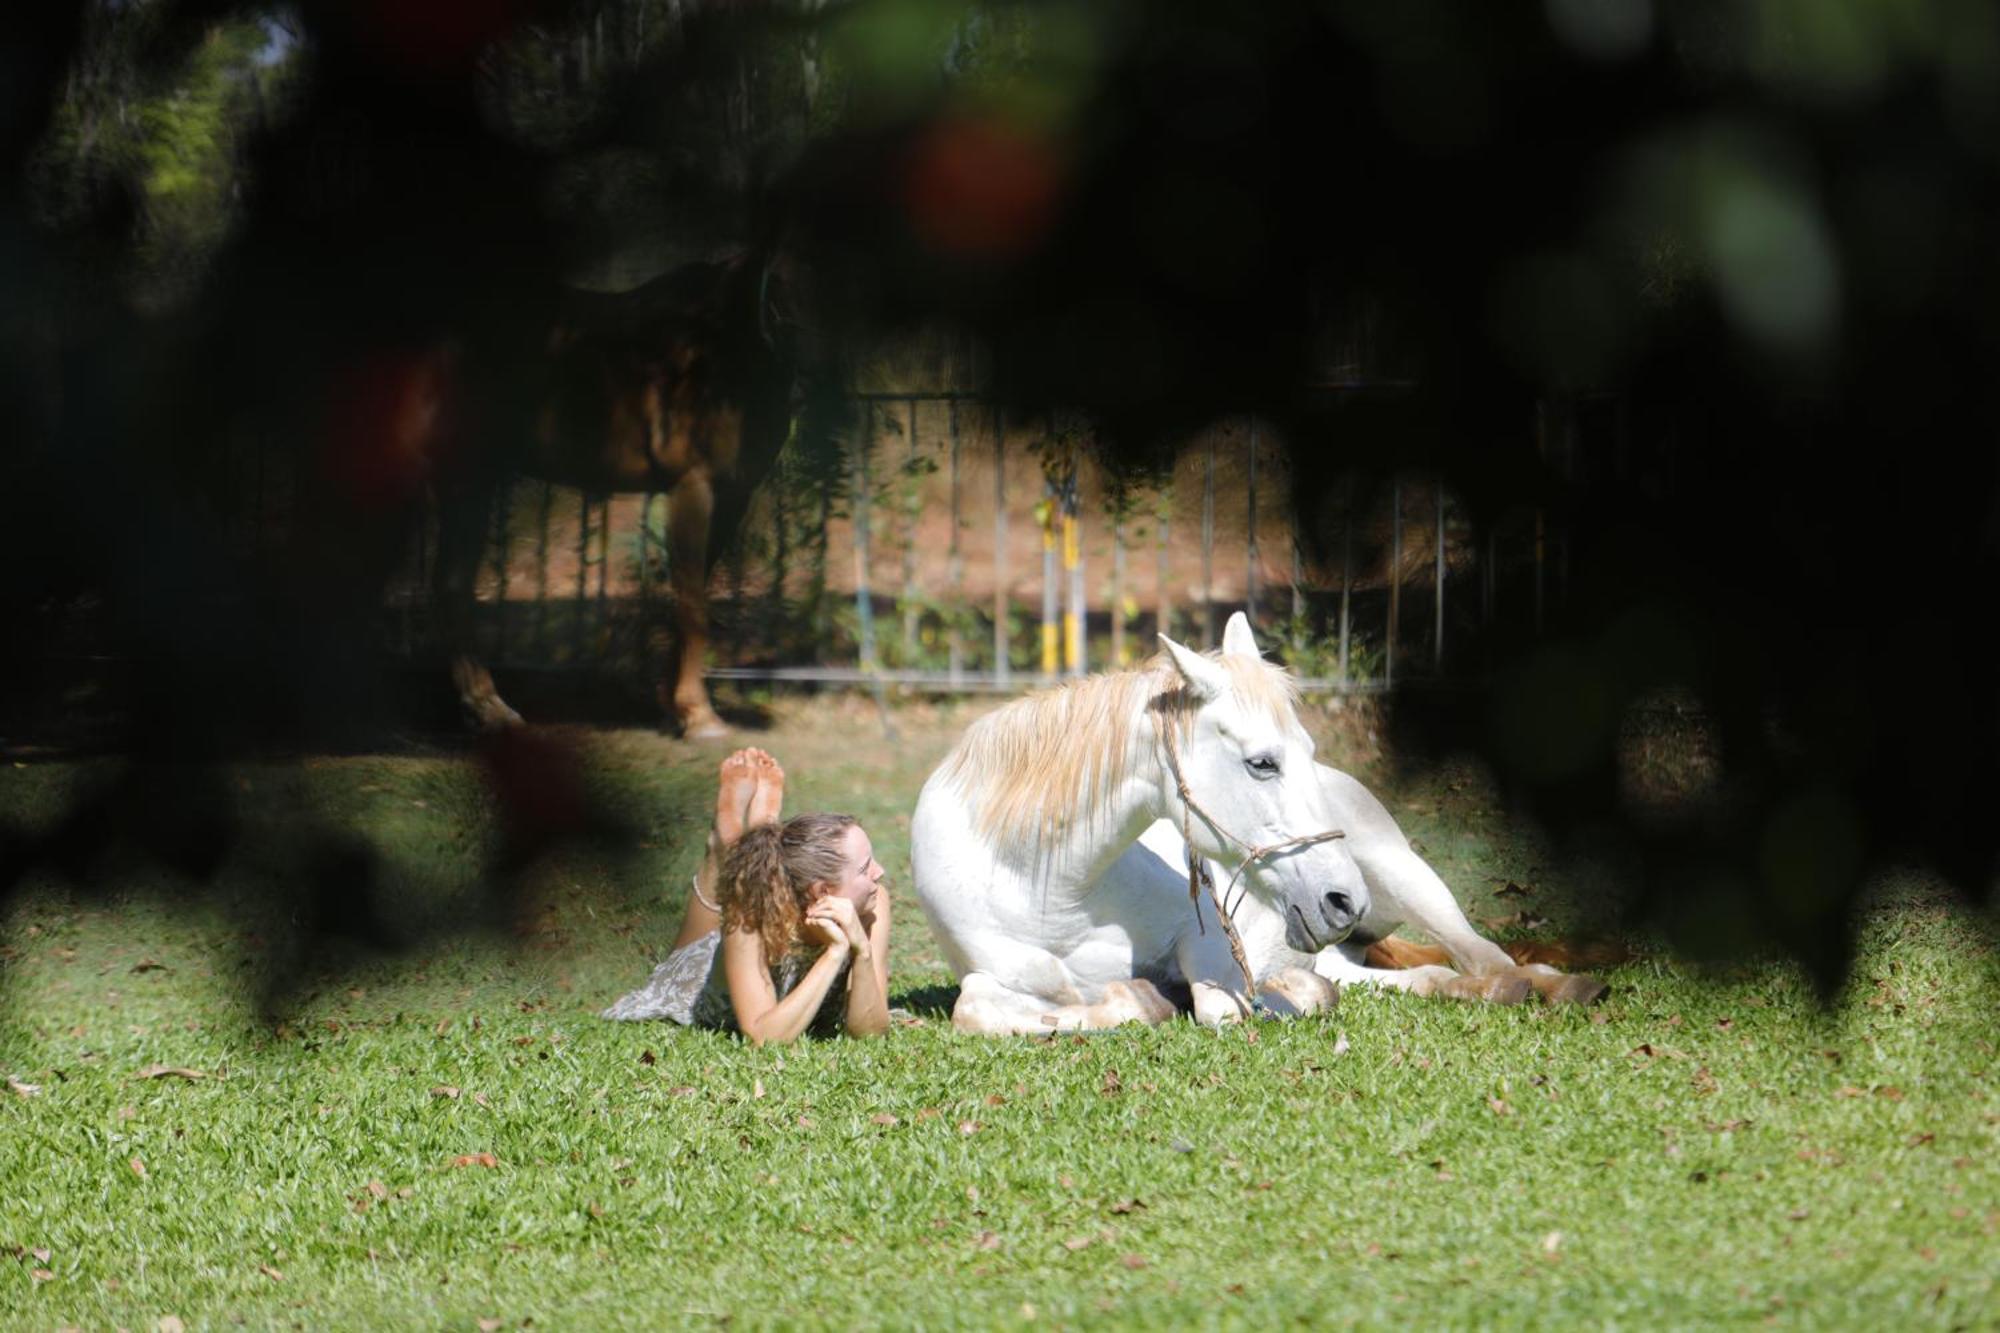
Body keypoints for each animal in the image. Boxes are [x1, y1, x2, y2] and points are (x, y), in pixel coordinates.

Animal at [916, 608, 1600, 1032]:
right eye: (1262, 762)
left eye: (1308, 750)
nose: (1342, 900)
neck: (1052, 890)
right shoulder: (990, 977)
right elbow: (976, 1010)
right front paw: (1137, 998)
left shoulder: (1213, 943)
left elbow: (1217, 1004)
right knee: (1420, 975)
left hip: (1407, 878)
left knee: (1485, 958)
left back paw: (1559, 985)